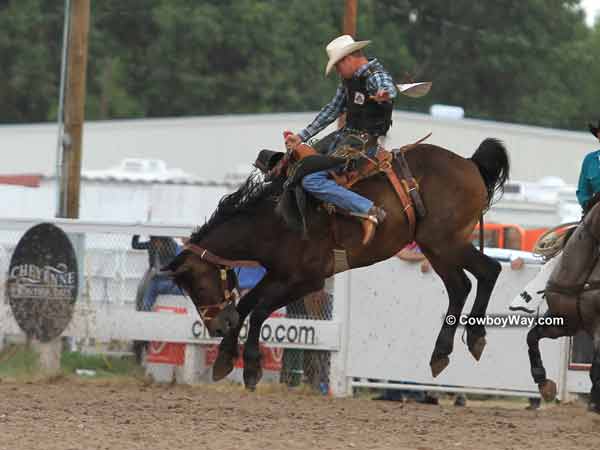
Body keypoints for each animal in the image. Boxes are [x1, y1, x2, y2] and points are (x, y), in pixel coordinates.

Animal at [162, 137, 508, 390]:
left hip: (444, 242)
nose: (216, 326)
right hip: (437, 249)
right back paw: (441, 353)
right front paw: (224, 358)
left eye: (196, 283)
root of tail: (470, 164)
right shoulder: (278, 274)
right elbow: (247, 304)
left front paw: (250, 368)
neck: (274, 222)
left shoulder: (306, 280)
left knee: (489, 271)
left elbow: (259, 310)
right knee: (461, 286)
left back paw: (475, 338)